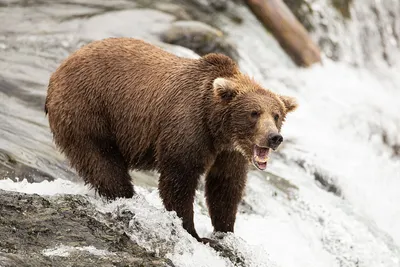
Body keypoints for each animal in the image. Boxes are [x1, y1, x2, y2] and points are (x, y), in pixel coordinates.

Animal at [44, 37, 296, 245]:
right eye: (254, 113)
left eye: (276, 114)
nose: (274, 137)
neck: (217, 127)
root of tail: (58, 69)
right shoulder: (188, 127)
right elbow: (179, 178)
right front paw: (193, 232)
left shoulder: (229, 152)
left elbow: (225, 186)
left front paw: (225, 231)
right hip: (88, 109)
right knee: (102, 160)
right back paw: (127, 198)